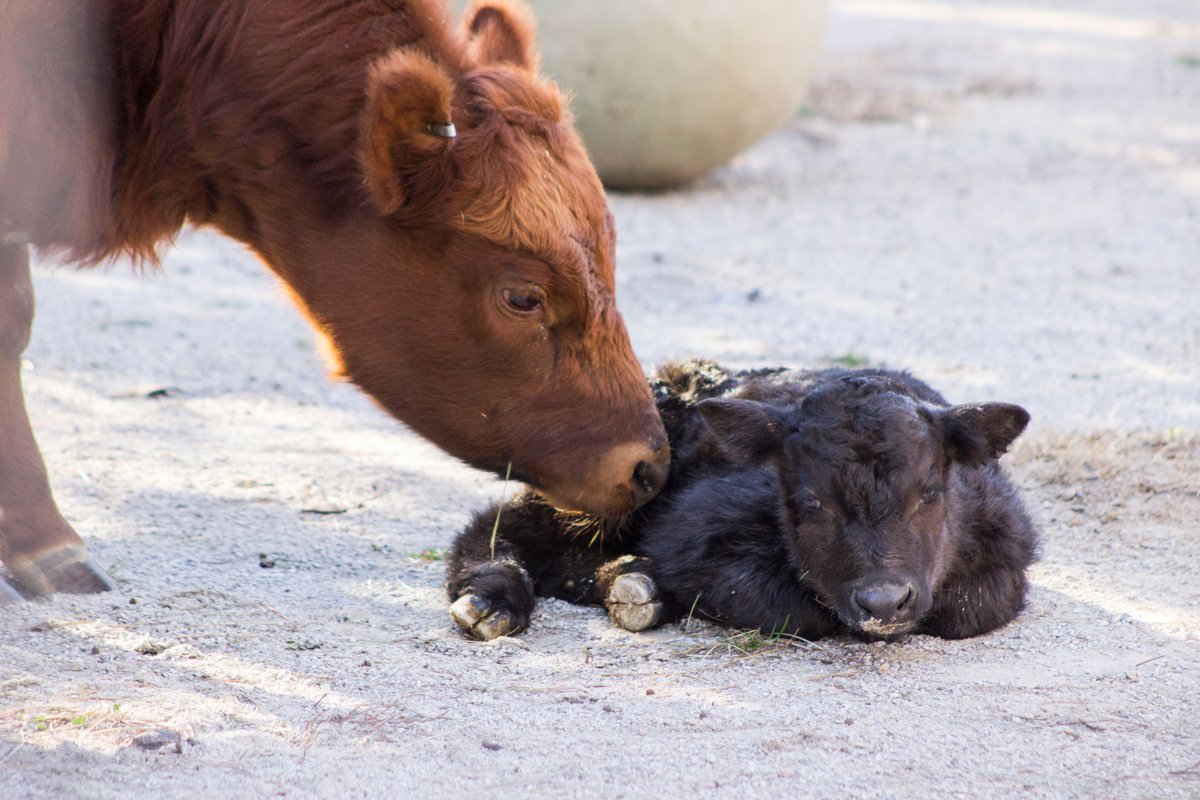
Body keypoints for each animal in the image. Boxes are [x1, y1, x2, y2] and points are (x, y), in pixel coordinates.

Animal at [447, 360, 1040, 642]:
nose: (883, 601)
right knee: (502, 527)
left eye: (930, 492)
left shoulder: (1006, 549)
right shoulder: (696, 532)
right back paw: (492, 599)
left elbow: (967, 605)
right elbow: (792, 607)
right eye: (811, 501)